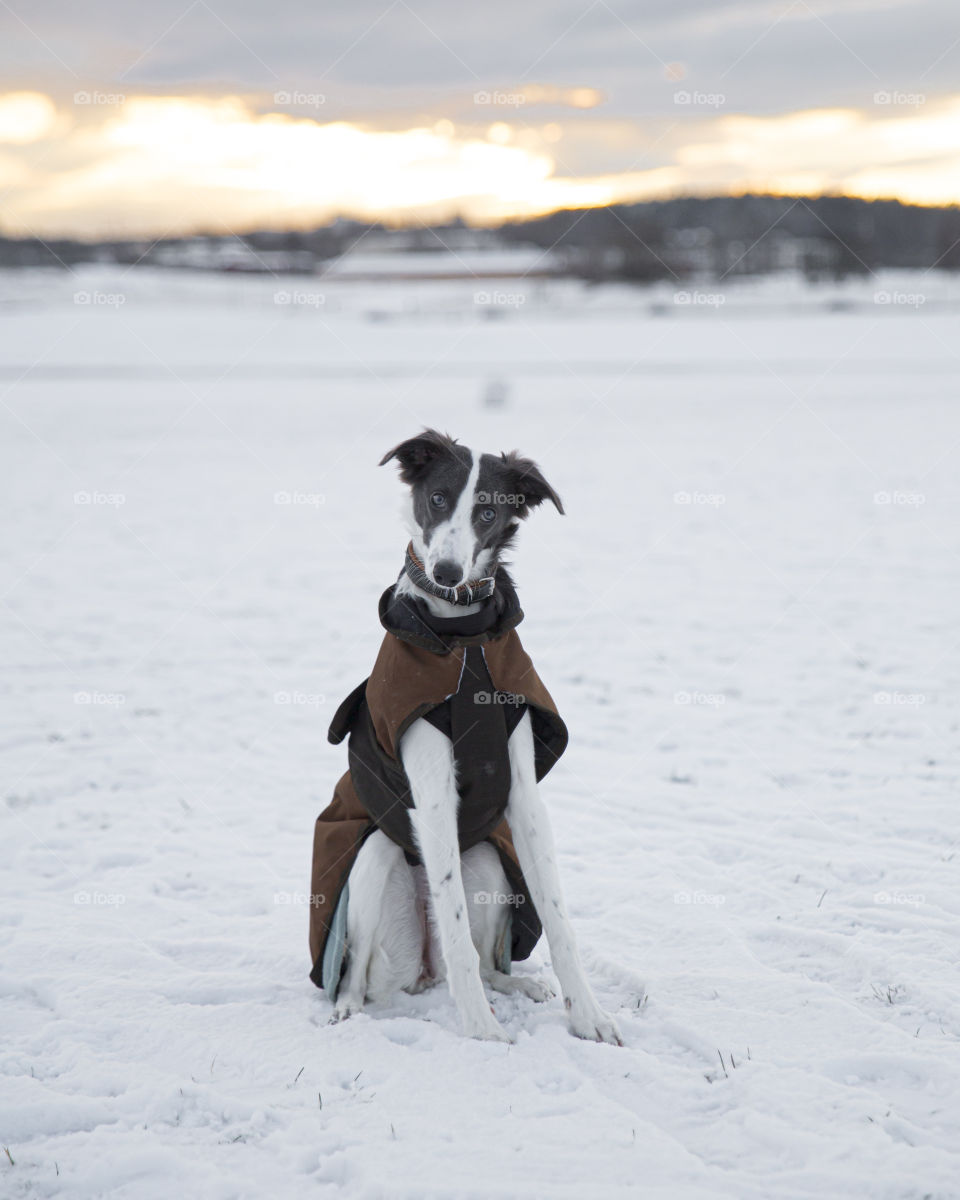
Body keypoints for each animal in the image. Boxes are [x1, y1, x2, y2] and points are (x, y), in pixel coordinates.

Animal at [307, 429, 624, 1041]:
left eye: (487, 512)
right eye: (437, 499)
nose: (449, 573)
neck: (464, 639)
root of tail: (422, 971)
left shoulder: (523, 795)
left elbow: (558, 918)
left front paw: (590, 1016)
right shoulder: (432, 798)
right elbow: (453, 924)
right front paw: (480, 1029)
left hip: (491, 865)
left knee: (485, 961)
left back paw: (520, 985)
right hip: (376, 857)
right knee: (364, 968)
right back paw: (347, 1009)